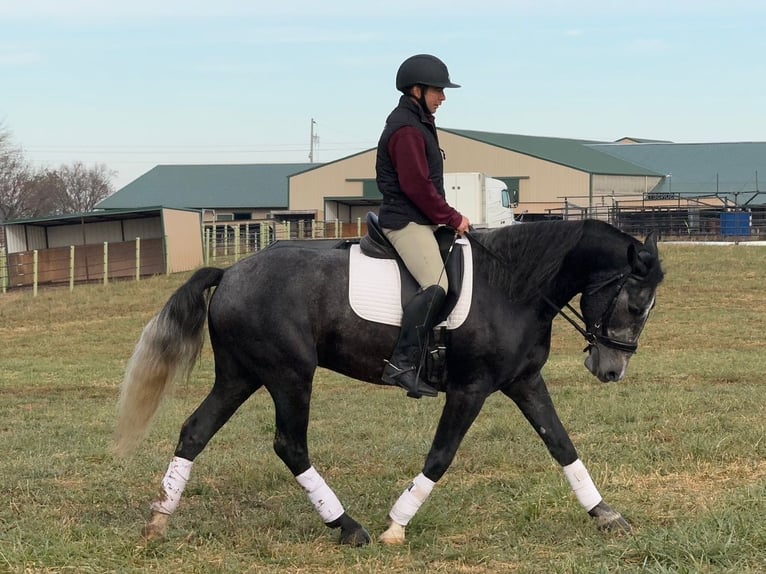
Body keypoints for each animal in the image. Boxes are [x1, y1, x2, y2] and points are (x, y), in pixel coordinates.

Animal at [115, 218, 663, 546]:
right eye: (636, 305)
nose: (611, 371)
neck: (513, 286)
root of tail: (229, 273)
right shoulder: (471, 389)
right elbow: (441, 455)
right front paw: (397, 526)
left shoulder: (524, 381)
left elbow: (562, 445)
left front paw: (606, 514)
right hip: (290, 376)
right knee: (290, 445)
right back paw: (347, 526)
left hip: (241, 375)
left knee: (195, 430)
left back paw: (160, 517)